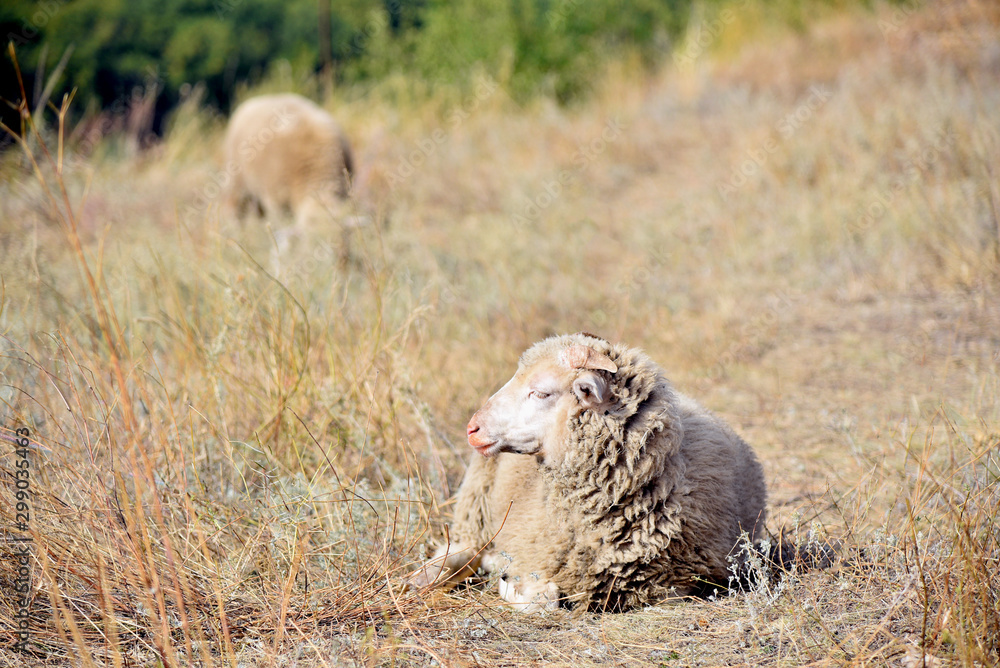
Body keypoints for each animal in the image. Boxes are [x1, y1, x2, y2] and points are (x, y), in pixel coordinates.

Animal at [409, 333, 769, 612]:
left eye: (541, 391)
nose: (473, 428)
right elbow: (541, 599)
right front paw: (507, 580)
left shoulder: (676, 584)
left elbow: (544, 599)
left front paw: (507, 580)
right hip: (474, 505)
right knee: (458, 550)